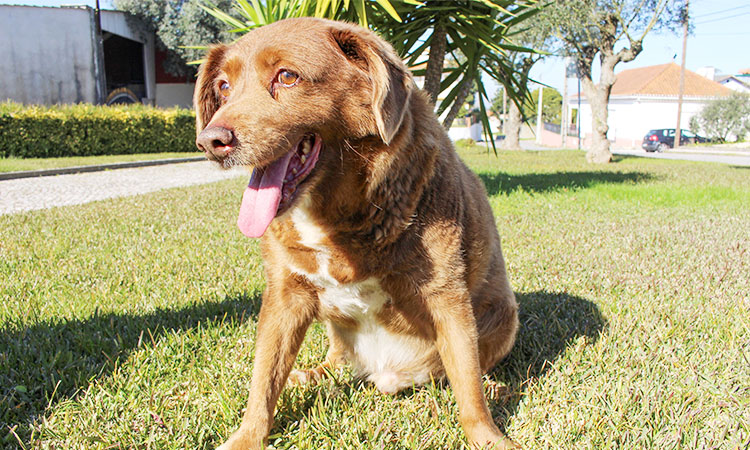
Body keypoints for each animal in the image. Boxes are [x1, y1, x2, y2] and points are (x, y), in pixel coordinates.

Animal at [195, 16, 516, 446]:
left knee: (473, 369)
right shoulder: (284, 296)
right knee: (334, 360)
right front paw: (247, 438)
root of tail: (387, 374)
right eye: (224, 87)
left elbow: (468, 388)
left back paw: (495, 385)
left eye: (287, 76)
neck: (335, 216)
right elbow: (262, 381)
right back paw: (310, 375)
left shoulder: (447, 296)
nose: (211, 141)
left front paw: (489, 438)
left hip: (505, 315)